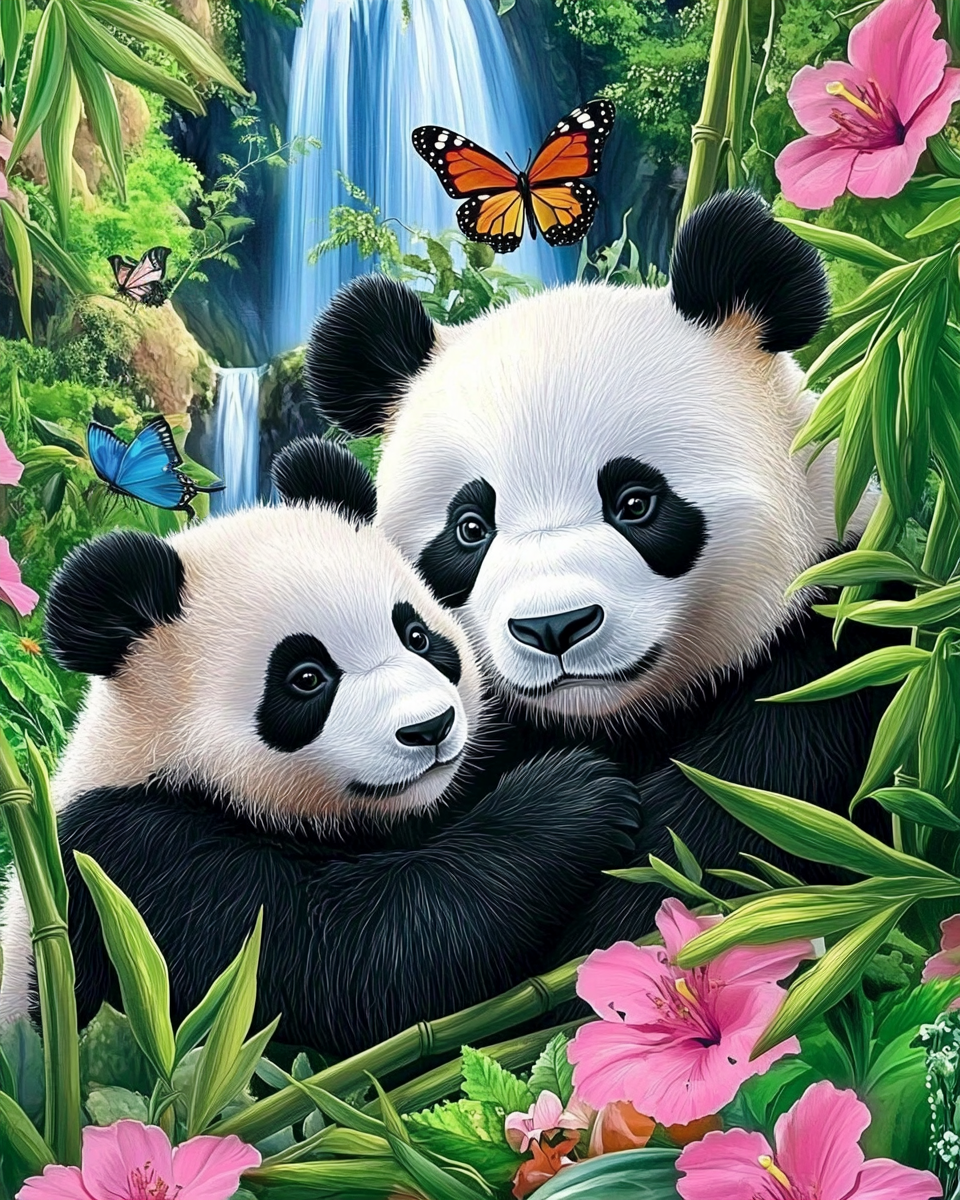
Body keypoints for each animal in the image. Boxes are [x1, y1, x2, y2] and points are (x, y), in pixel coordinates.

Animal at [0, 444, 639, 1055]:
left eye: (417, 636)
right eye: (306, 678)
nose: (429, 728)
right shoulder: (135, 862)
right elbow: (347, 962)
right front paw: (575, 796)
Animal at [282, 189, 901, 954]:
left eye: (635, 502)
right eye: (471, 528)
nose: (554, 627)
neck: (611, 720)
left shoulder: (827, 667)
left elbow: (723, 840)